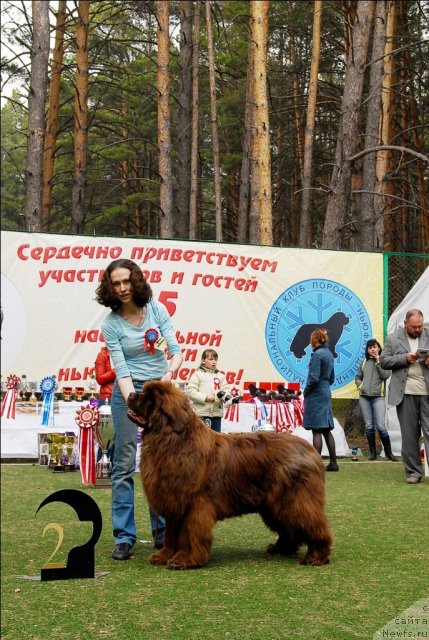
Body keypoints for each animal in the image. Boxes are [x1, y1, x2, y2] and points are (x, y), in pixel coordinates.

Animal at [127, 380, 332, 568]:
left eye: (148, 397)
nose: (130, 394)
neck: (173, 440)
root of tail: (311, 450)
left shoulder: (192, 504)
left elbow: (187, 533)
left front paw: (184, 560)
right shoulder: (173, 501)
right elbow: (170, 534)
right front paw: (163, 556)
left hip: (294, 499)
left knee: (313, 524)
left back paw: (315, 556)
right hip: (273, 505)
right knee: (289, 529)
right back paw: (280, 548)